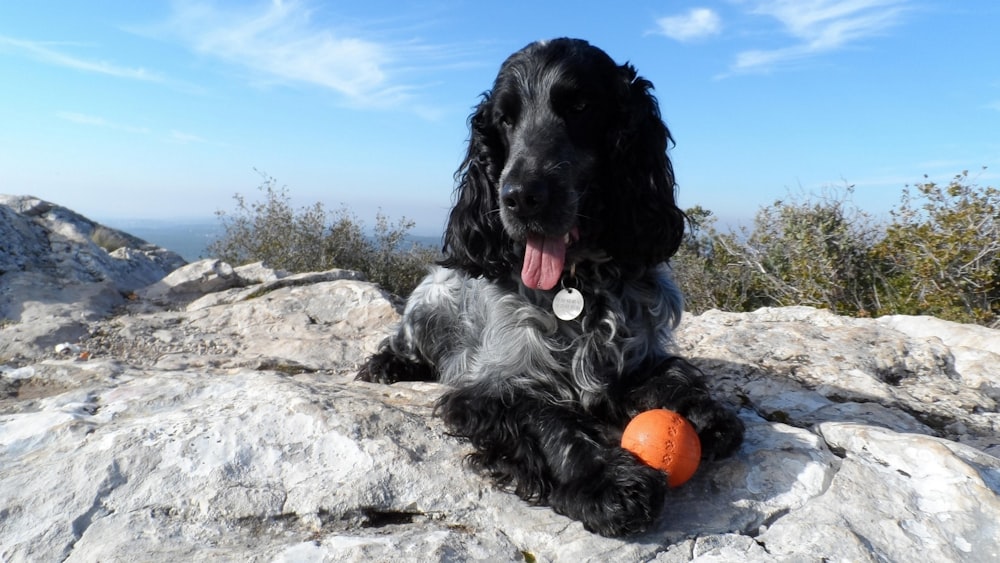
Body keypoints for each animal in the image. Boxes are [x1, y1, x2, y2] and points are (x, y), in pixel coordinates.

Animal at [358, 37, 744, 536]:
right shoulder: (490, 388)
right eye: (504, 119)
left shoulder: (635, 355)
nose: (520, 197)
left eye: (579, 106)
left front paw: (704, 413)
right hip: (431, 302)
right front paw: (607, 482)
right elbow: (547, 420)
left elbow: (673, 375)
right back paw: (386, 365)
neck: (575, 282)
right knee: (399, 342)